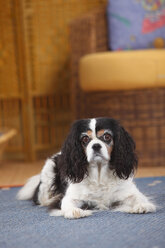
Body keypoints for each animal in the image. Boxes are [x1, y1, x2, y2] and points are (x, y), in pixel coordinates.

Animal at [17, 118, 157, 219]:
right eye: (85, 139)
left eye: (107, 136)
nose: (96, 146)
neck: (99, 174)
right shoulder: (70, 197)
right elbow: (66, 203)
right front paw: (75, 211)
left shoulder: (129, 192)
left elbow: (138, 197)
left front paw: (142, 206)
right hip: (47, 177)